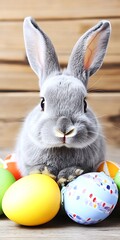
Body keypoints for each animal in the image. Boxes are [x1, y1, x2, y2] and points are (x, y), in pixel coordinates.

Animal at [15, 16, 111, 185]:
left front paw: (68, 175)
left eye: (84, 103)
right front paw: (44, 171)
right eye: (42, 103)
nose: (64, 129)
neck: (62, 147)